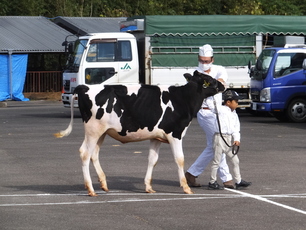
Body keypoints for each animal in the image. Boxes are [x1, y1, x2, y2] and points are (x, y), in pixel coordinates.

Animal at [55, 71, 225, 195]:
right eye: (209, 79)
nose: (223, 84)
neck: (182, 99)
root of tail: (85, 87)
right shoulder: (175, 134)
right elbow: (180, 159)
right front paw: (186, 187)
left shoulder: (156, 137)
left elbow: (152, 160)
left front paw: (148, 187)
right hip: (93, 130)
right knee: (85, 153)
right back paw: (90, 189)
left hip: (101, 132)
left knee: (94, 154)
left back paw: (103, 184)